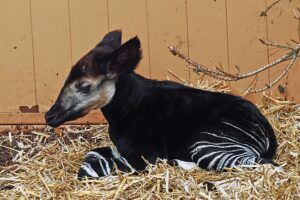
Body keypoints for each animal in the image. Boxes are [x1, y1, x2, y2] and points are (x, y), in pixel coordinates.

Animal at [44, 30, 276, 178]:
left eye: (84, 86)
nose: (49, 116)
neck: (127, 108)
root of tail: (266, 130)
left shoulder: (144, 156)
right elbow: (96, 152)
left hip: (205, 142)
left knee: (261, 164)